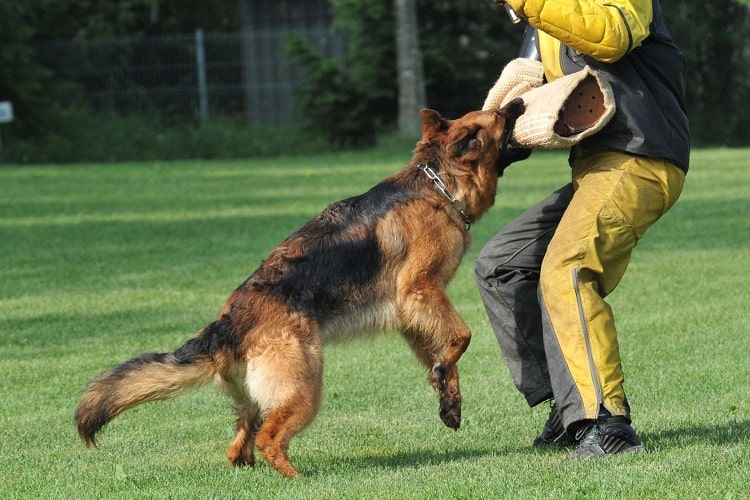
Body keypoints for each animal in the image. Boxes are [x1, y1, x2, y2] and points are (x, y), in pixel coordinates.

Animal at [75, 97, 524, 476]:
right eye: (498, 116)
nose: (520, 101)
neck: (438, 183)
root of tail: (227, 325)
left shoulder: (413, 313)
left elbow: (444, 356)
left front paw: (447, 395)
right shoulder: (421, 290)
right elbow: (462, 336)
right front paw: (445, 374)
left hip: (260, 398)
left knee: (239, 443)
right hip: (304, 387)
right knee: (269, 439)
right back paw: (296, 478)